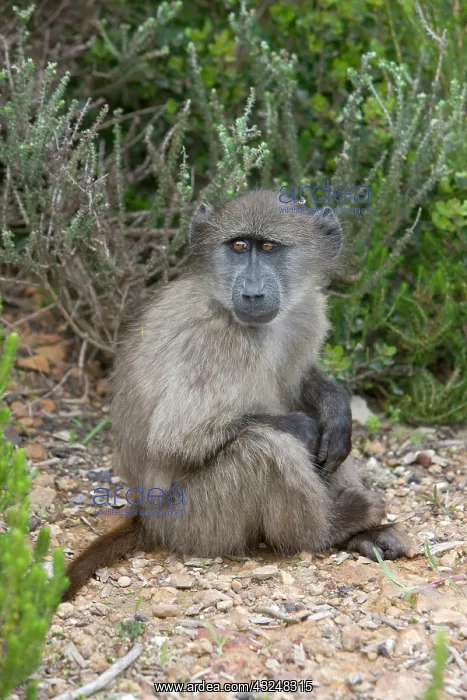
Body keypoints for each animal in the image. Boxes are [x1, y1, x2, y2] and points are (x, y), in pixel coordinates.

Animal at [63, 189, 413, 601]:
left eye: (269, 247)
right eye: (239, 246)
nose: (252, 292)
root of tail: (147, 521)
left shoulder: (308, 312)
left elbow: (304, 390)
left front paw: (336, 409)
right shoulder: (215, 341)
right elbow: (177, 439)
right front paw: (304, 426)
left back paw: (365, 534)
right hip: (195, 522)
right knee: (264, 446)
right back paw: (332, 526)